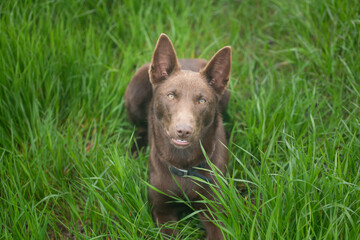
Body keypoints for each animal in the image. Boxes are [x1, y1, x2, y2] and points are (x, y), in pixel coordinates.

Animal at [124, 34, 231, 240]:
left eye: (202, 100)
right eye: (171, 96)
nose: (183, 130)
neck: (184, 165)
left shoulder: (214, 210)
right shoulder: (162, 211)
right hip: (134, 92)